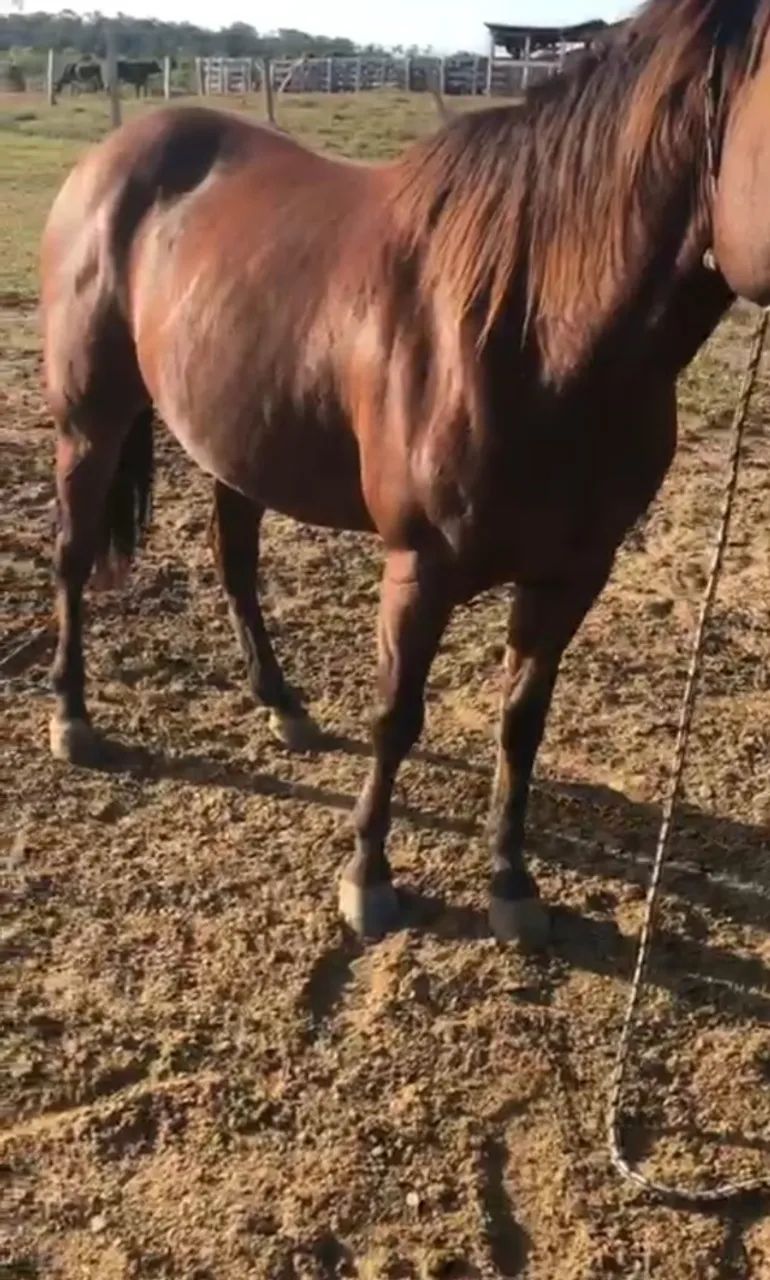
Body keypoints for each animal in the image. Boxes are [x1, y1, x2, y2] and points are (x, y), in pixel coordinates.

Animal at [40, 0, 770, 947]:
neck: (534, 326)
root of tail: (111, 159)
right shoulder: (419, 568)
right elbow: (397, 716)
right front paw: (368, 878)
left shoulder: (574, 574)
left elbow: (521, 722)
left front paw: (511, 882)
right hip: (89, 426)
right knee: (72, 556)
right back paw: (71, 717)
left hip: (236, 438)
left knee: (233, 560)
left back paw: (281, 703)